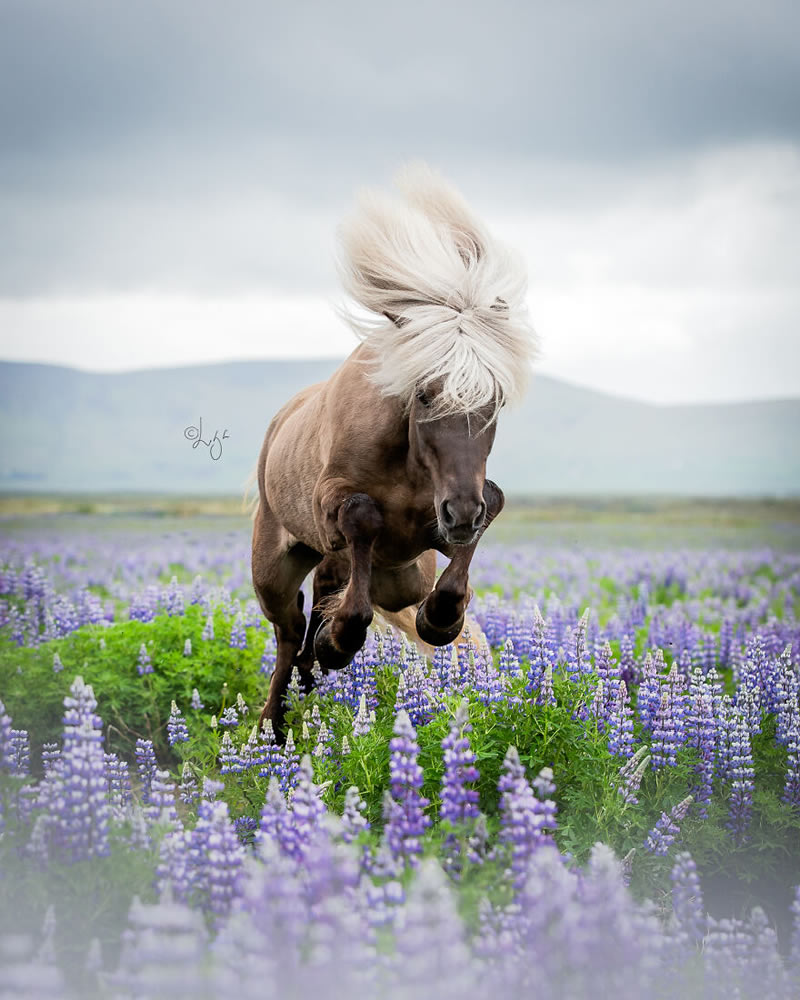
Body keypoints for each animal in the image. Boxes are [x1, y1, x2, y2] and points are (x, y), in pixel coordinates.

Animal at [250, 164, 536, 736]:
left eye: (494, 399)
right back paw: (276, 718)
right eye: (424, 393)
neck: (409, 464)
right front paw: (338, 641)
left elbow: (485, 518)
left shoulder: (437, 530)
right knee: (290, 631)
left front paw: (440, 618)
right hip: (273, 569)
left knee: (322, 603)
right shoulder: (337, 507)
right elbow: (361, 521)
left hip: (402, 577)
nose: (459, 510)